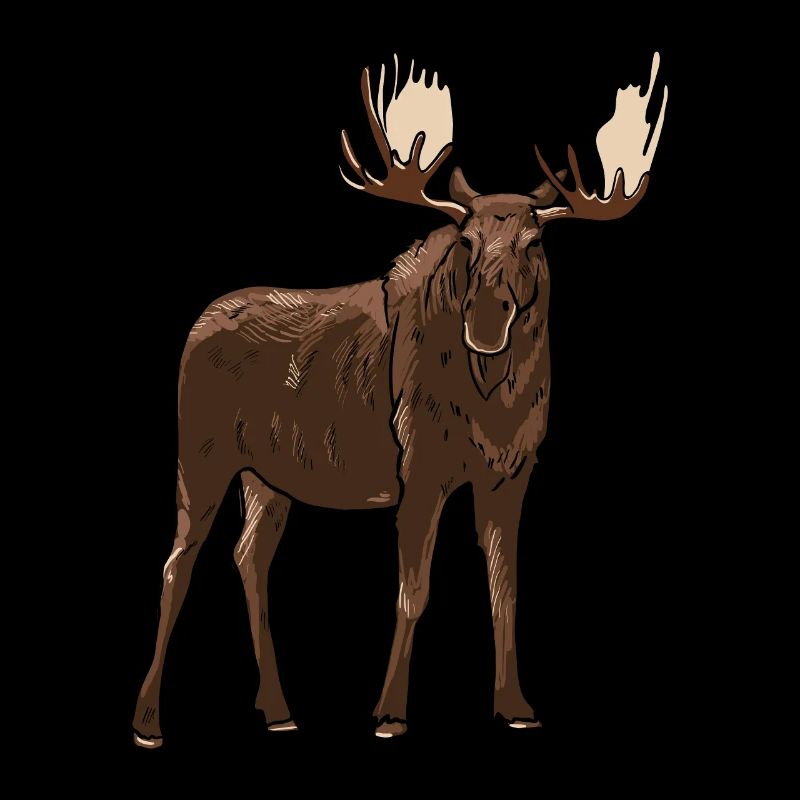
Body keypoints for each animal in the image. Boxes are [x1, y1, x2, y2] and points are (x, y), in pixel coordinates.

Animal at [133, 53, 667, 747]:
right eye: (466, 240)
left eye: (534, 243)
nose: (488, 313)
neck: (496, 405)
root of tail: (194, 327)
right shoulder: (422, 467)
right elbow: (413, 589)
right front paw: (389, 712)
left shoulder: (514, 472)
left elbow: (506, 590)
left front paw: (517, 705)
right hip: (201, 455)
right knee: (177, 564)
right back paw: (148, 721)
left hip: (268, 476)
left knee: (248, 559)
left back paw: (278, 709)